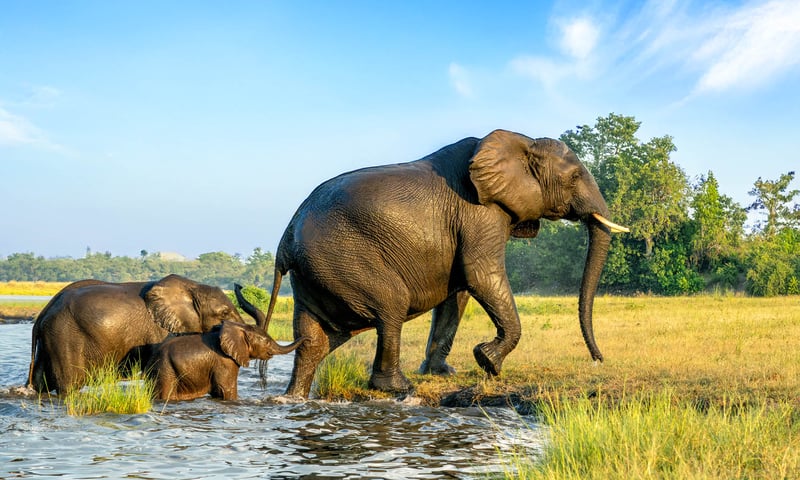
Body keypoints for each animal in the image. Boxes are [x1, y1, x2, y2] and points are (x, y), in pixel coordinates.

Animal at [27, 274, 267, 394]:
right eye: (224, 313)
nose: (239, 284)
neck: (192, 288)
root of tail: (42, 314)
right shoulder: (161, 331)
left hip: (50, 340)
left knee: (41, 382)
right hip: (65, 337)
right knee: (69, 384)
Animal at [146, 319, 305, 401]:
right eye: (266, 342)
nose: (307, 337)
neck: (239, 327)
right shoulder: (225, 362)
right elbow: (226, 388)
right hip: (165, 369)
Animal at [260, 129, 628, 398]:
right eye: (575, 177)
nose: (598, 360)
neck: (522, 141)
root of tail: (286, 236)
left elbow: (458, 294)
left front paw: (443, 372)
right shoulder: (479, 211)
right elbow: (481, 275)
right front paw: (488, 362)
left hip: (315, 271)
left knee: (315, 339)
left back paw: (293, 398)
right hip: (342, 259)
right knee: (391, 307)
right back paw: (398, 388)